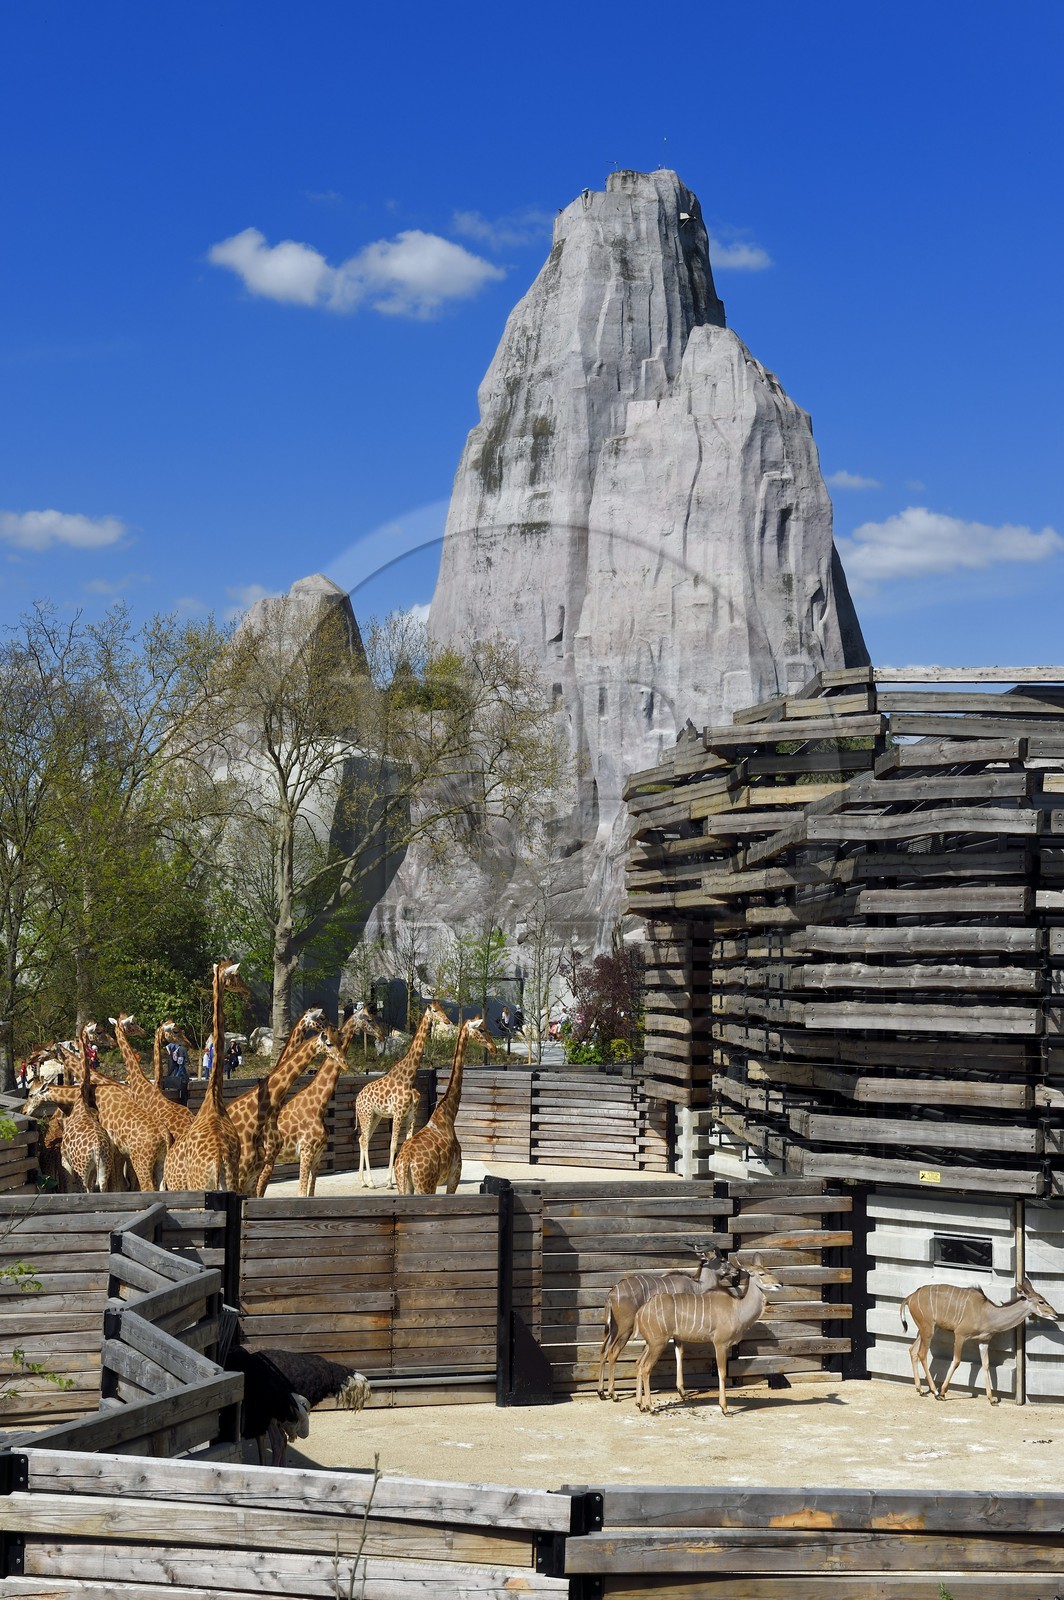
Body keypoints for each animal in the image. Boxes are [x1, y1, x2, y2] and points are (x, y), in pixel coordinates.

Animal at [259, 1026, 352, 1196]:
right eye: (329, 1043)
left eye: (341, 1041)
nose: (345, 1064)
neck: (318, 1106)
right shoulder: (306, 1151)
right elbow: (301, 1192)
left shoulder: (319, 1153)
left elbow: (310, 1193)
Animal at [355, 997, 451, 1188]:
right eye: (434, 1010)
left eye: (442, 1008)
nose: (447, 1021)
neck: (409, 1076)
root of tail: (356, 1099)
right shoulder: (398, 1113)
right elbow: (392, 1145)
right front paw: (389, 1182)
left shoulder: (411, 1113)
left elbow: (406, 1141)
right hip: (366, 1115)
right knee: (364, 1140)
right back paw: (371, 1182)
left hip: (375, 1116)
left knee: (363, 1139)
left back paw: (363, 1181)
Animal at [394, 1015, 498, 1195]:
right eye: (481, 1029)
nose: (493, 1048)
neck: (447, 1115)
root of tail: (406, 1161)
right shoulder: (455, 1175)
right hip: (425, 1186)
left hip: (404, 1187)